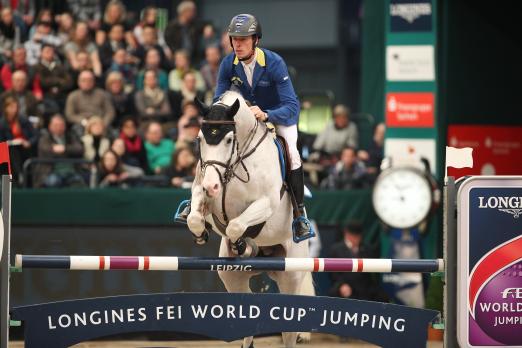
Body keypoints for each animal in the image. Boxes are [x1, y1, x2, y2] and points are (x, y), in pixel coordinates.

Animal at [185, 91, 310, 346]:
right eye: (200, 139)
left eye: (228, 140)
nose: (212, 186)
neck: (234, 164)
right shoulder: (202, 191)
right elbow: (195, 218)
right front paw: (202, 233)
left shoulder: (266, 203)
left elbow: (236, 225)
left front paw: (242, 244)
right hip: (231, 276)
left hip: (291, 274)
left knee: (289, 331)